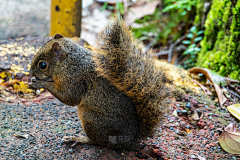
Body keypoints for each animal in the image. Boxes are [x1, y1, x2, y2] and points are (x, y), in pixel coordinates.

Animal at [29, 16, 172, 150]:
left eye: (42, 65)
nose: (30, 73)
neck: (69, 61)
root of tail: (129, 139)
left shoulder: (74, 78)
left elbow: (70, 97)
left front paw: (41, 83)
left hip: (91, 119)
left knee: (99, 142)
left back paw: (79, 139)